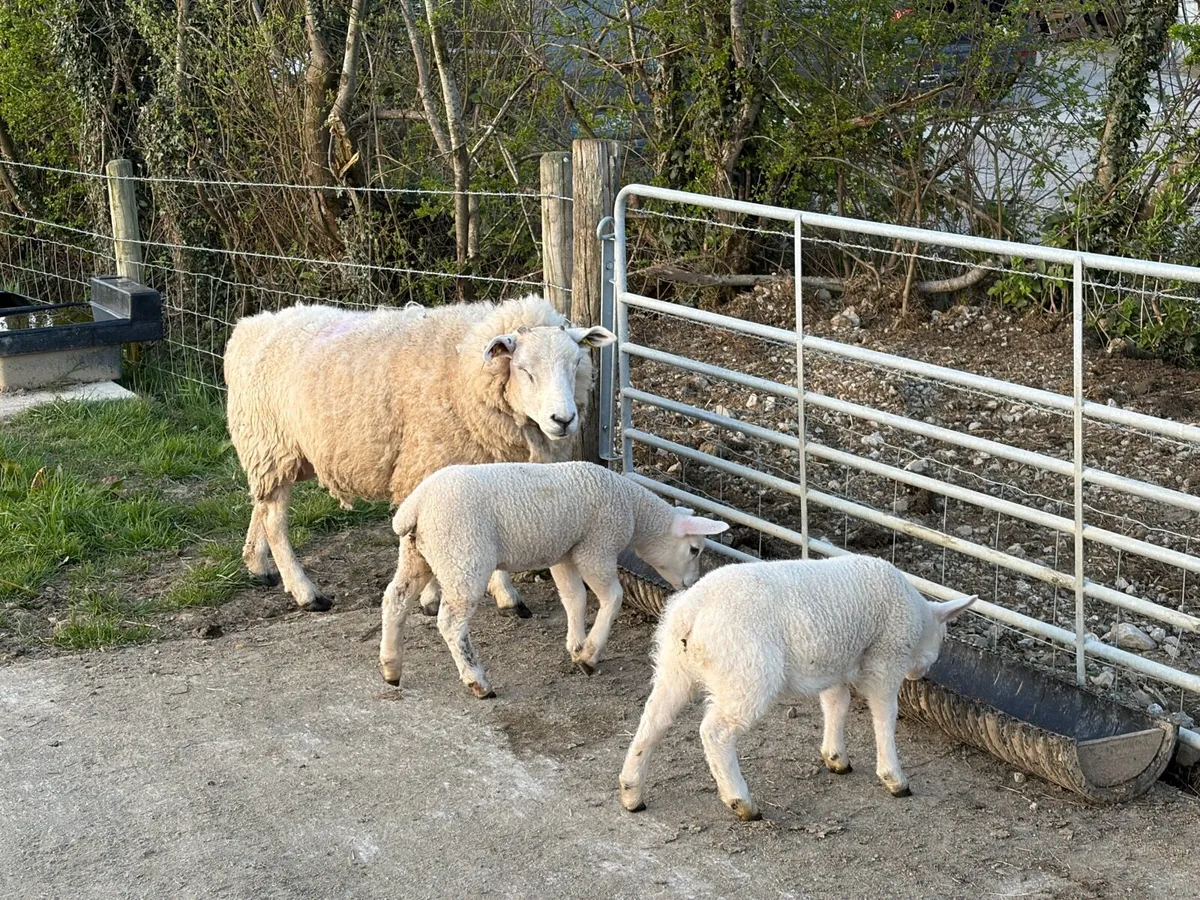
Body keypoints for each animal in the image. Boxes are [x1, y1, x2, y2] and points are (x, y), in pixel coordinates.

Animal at [223, 294, 615, 615]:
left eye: (575, 363)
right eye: (523, 370)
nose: (563, 420)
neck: (462, 371)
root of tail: (249, 327)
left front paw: (503, 596)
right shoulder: (430, 464)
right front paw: (432, 597)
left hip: (280, 452)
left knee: (260, 504)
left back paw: (257, 564)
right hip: (270, 443)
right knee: (275, 521)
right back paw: (307, 593)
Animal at [378, 461, 729, 698]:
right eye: (695, 549)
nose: (690, 585)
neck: (633, 508)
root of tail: (415, 506)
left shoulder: (565, 552)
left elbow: (575, 597)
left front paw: (576, 645)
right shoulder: (596, 547)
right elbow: (612, 597)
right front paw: (589, 655)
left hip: (419, 554)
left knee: (395, 600)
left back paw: (391, 667)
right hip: (463, 555)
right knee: (451, 623)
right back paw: (477, 681)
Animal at [617, 555, 978, 821]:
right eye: (942, 641)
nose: (920, 674)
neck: (917, 616)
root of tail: (691, 612)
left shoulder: (834, 661)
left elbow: (836, 703)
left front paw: (836, 757)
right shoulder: (885, 657)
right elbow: (884, 714)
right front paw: (894, 778)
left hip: (674, 666)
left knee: (654, 719)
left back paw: (632, 791)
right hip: (747, 670)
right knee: (715, 732)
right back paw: (741, 801)